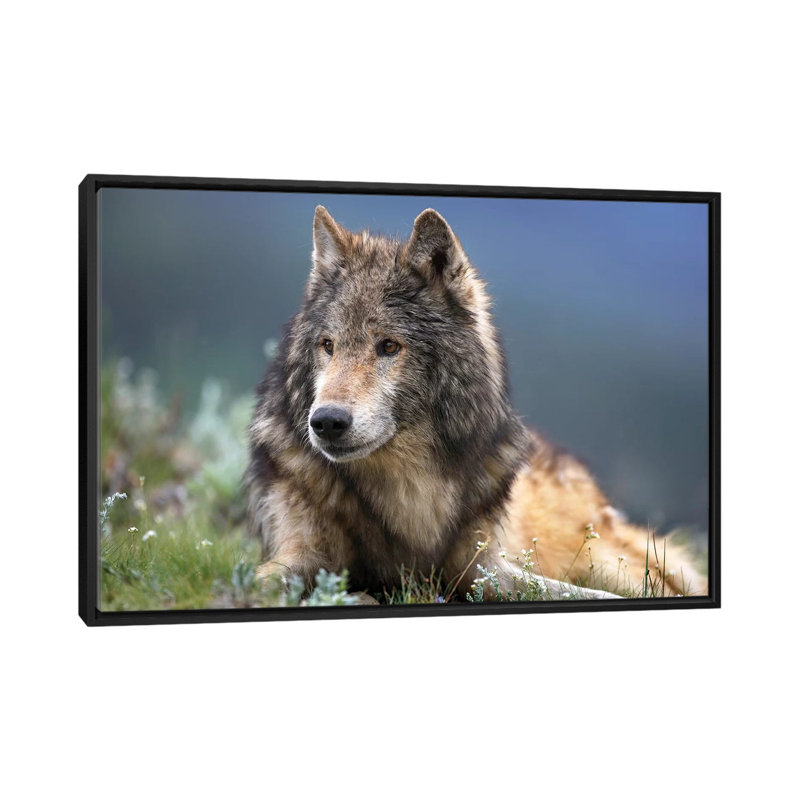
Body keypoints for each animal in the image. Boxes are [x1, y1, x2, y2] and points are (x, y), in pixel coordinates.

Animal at [246, 206, 707, 601]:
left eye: (389, 346)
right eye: (328, 345)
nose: (326, 421)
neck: (406, 488)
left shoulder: (484, 570)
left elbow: (582, 594)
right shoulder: (302, 552)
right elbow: (262, 581)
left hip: (608, 560)